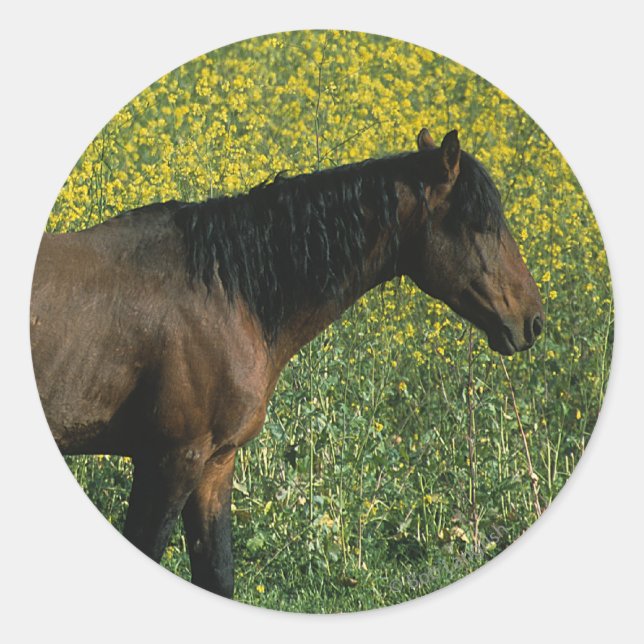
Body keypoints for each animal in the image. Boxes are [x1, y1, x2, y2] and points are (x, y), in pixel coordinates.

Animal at [30, 128, 544, 598]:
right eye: (480, 224)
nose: (533, 321)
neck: (226, 291)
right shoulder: (169, 461)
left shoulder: (215, 464)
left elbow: (218, 575)